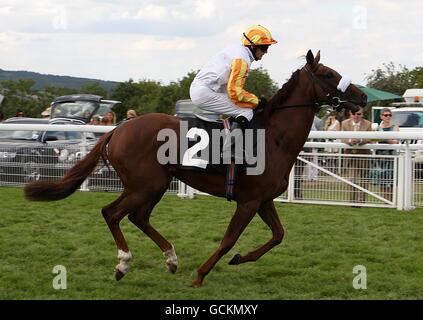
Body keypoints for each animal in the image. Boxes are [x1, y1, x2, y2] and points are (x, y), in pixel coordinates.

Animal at [24, 50, 368, 288]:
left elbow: (278, 235)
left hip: (154, 185)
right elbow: (229, 239)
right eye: (327, 74)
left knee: (137, 217)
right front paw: (201, 274)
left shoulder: (263, 199)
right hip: (145, 185)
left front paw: (240, 259)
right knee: (112, 213)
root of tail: (117, 129)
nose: (363, 96)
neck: (274, 137)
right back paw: (124, 263)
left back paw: (170, 259)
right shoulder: (249, 201)